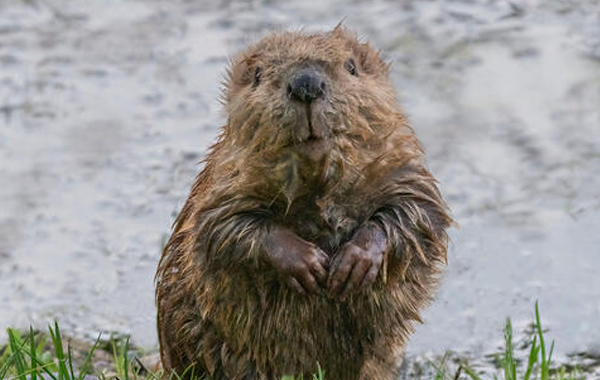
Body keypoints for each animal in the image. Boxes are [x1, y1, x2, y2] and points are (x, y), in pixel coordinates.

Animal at [155, 26, 450, 380]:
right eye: (259, 74)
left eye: (351, 66)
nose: (306, 84)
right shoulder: (224, 179)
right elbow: (222, 228)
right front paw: (309, 264)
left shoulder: (400, 165)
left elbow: (417, 212)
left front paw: (352, 264)